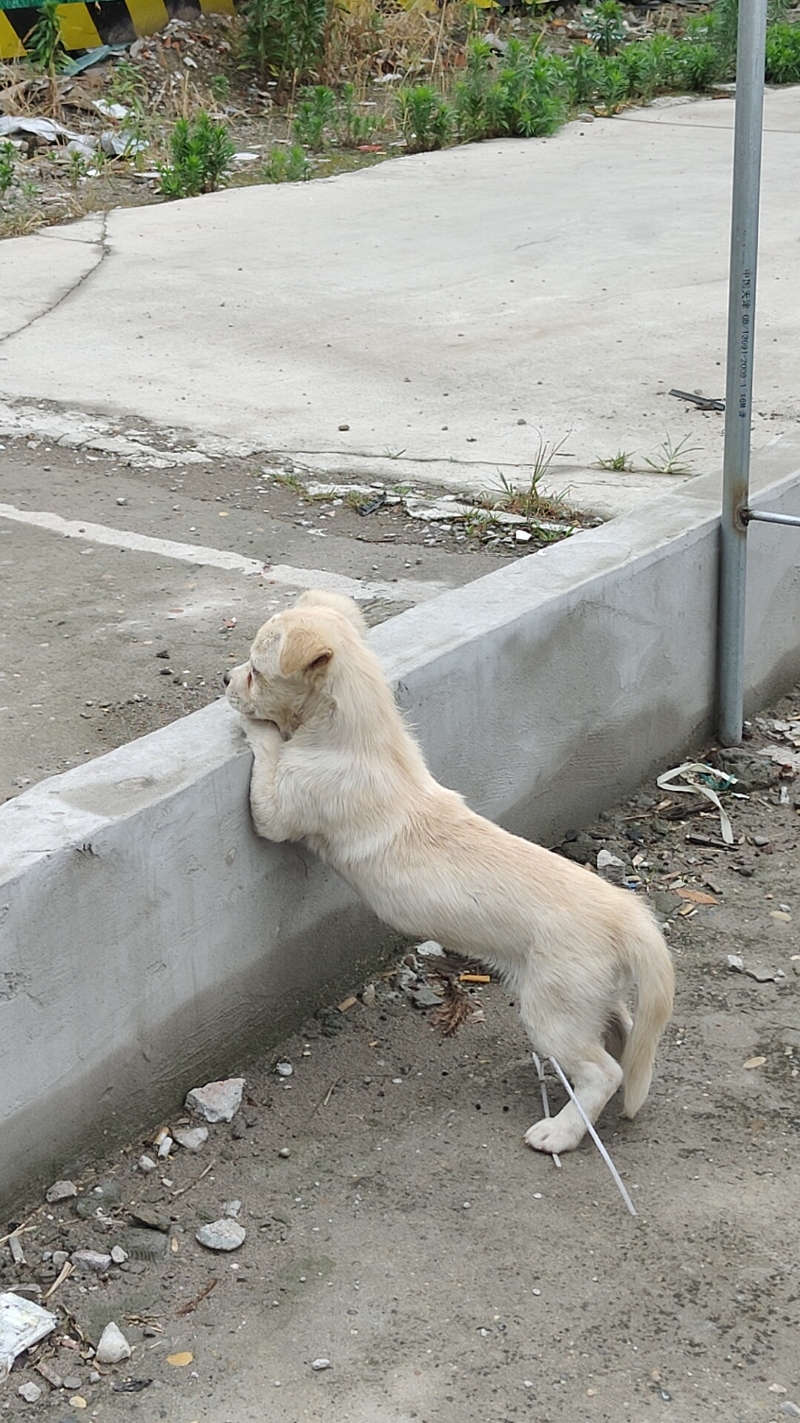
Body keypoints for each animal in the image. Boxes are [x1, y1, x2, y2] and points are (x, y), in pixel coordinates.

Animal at [226, 589, 671, 1155]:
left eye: (255, 671)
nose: (224, 678)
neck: (355, 733)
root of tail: (629, 914)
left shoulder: (279, 809)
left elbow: (267, 753)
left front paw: (253, 726)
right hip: (589, 999)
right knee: (627, 1041)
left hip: (554, 1010)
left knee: (603, 1072)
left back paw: (561, 1131)